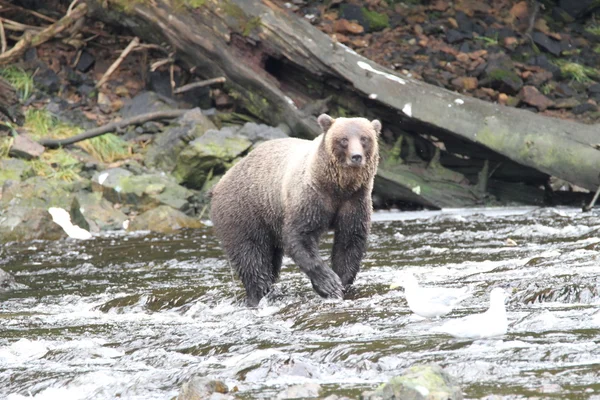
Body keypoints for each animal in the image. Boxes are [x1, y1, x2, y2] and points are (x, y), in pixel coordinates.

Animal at [210, 112, 380, 306]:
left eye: (364, 138)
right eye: (344, 139)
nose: (356, 156)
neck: (338, 187)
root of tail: (219, 183)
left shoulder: (354, 201)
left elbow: (350, 240)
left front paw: (342, 282)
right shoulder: (310, 197)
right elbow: (299, 236)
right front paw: (329, 283)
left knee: (271, 259)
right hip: (243, 211)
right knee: (251, 256)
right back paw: (258, 294)